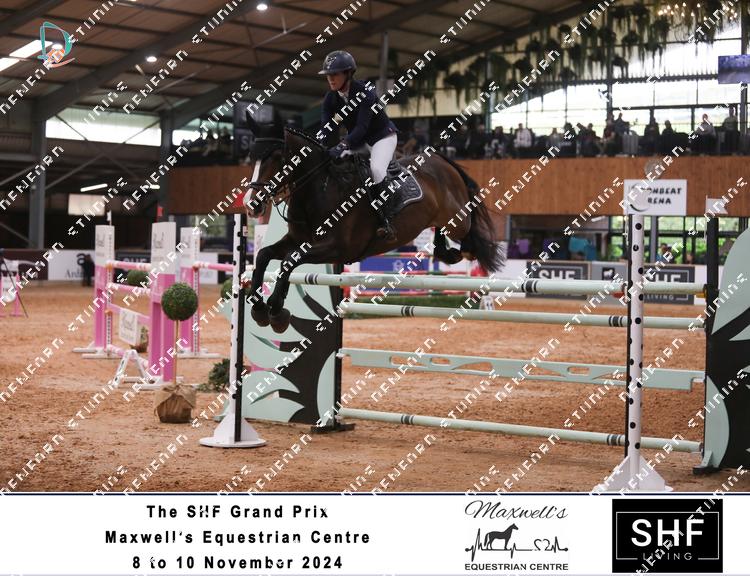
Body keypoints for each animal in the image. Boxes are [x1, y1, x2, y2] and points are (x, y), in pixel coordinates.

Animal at [243, 117, 503, 333]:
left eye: (276, 157)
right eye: (252, 157)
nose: (251, 204)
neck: (322, 188)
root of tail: (442, 160)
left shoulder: (337, 248)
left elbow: (289, 261)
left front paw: (276, 309)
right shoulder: (298, 240)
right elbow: (264, 256)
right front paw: (259, 309)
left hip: (457, 219)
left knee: (468, 230)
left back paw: (463, 251)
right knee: (442, 229)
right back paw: (445, 251)